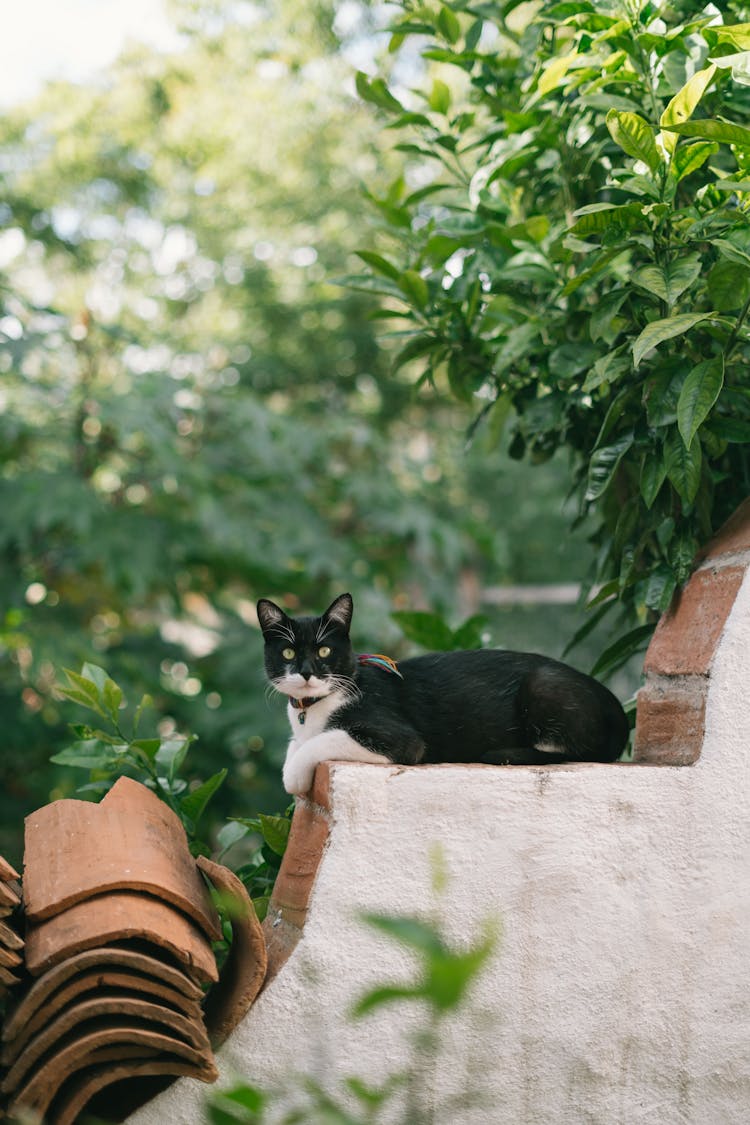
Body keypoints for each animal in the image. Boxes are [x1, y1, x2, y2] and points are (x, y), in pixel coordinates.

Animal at [255, 594, 629, 796]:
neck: (312, 710)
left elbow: (325, 739)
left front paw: (294, 775)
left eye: (324, 651)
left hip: (543, 684)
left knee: (572, 749)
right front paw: (294, 753)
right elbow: (295, 743)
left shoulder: (399, 738)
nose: (306, 672)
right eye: (288, 653)